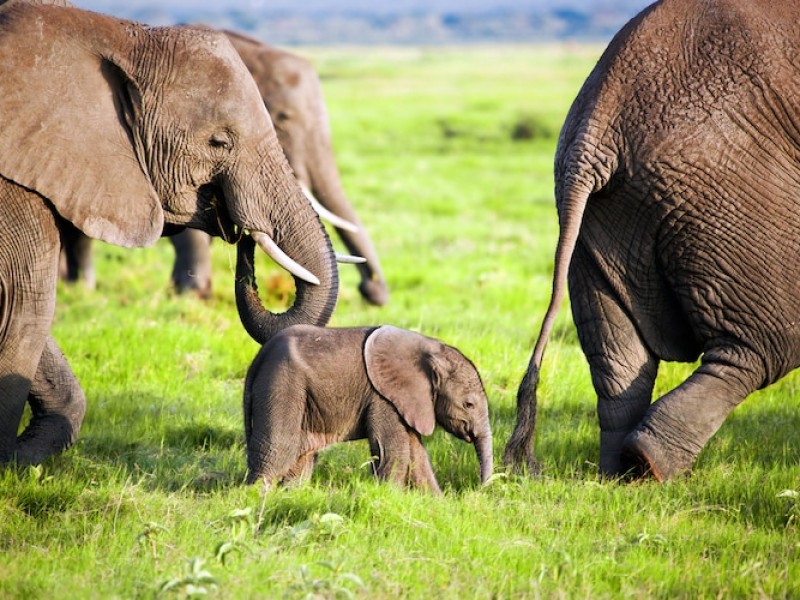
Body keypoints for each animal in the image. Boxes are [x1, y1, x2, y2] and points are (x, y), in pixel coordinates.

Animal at [244, 324, 494, 492]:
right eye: (469, 404)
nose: (480, 489)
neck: (430, 347)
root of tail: (259, 357)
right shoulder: (383, 397)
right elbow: (393, 450)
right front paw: (391, 497)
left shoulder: (405, 400)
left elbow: (417, 454)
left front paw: (436, 504)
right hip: (282, 383)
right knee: (278, 449)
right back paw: (257, 497)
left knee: (301, 456)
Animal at [504, 0, 800, 480]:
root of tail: (596, 126)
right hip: (727, 188)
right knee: (765, 343)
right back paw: (649, 465)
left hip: (601, 217)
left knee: (618, 360)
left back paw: (620, 475)